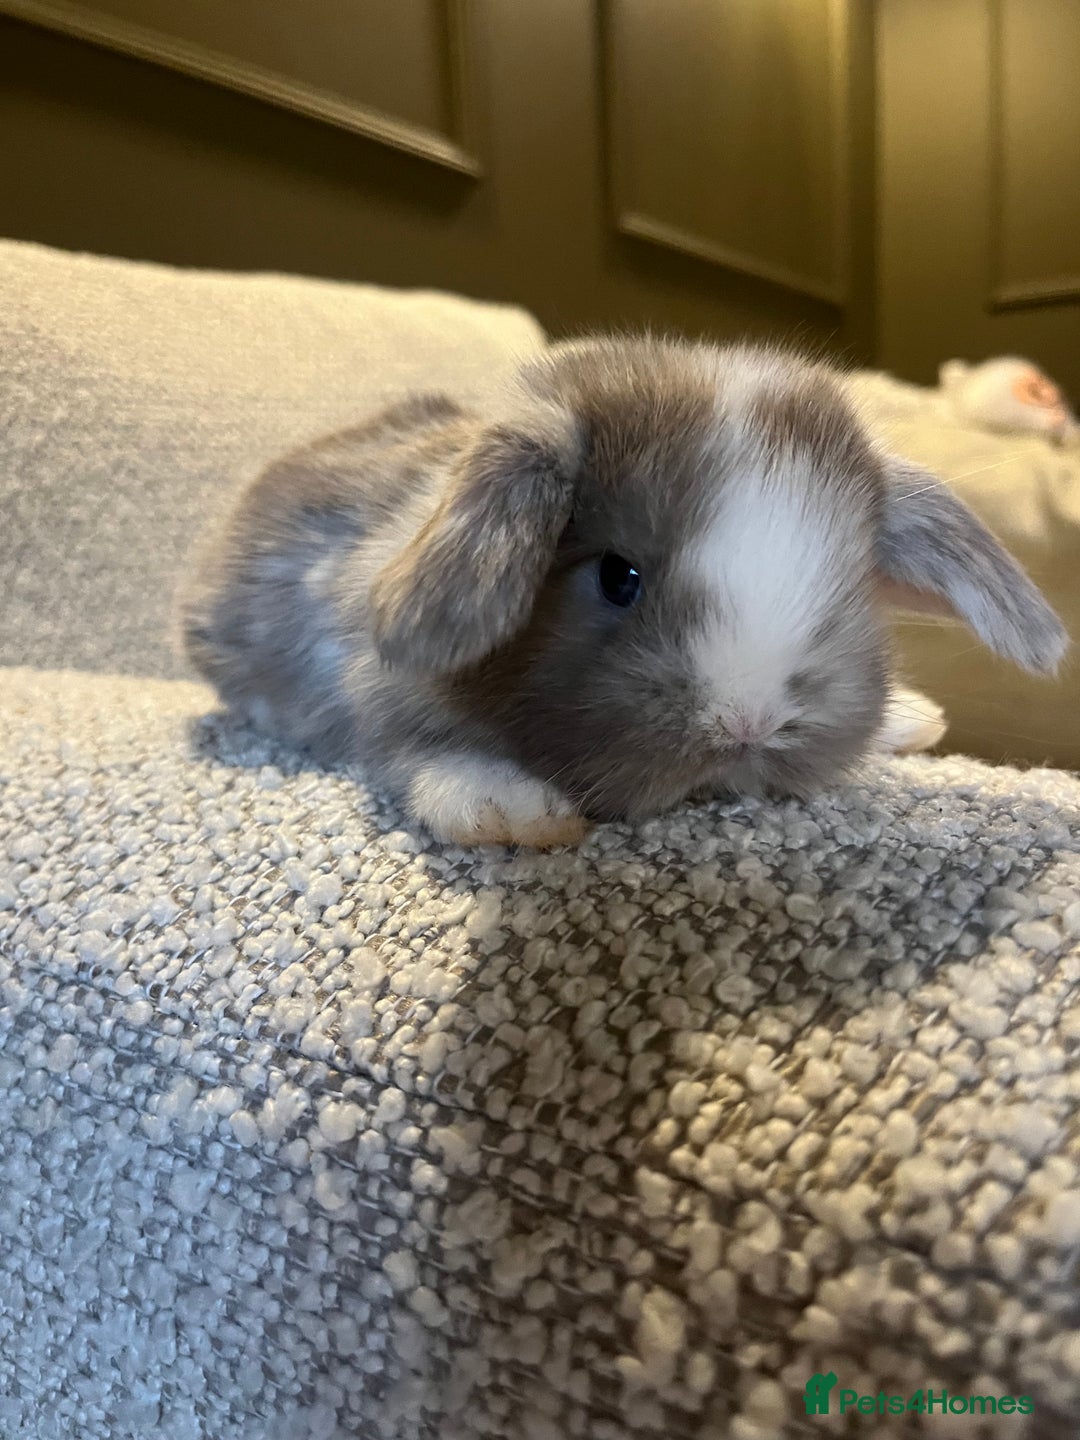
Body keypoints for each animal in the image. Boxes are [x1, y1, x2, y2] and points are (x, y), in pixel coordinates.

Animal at [179, 335, 1068, 848]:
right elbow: (418, 748)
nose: (748, 724)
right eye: (618, 577)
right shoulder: (372, 678)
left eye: (851, 588)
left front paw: (911, 721)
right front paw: (517, 812)